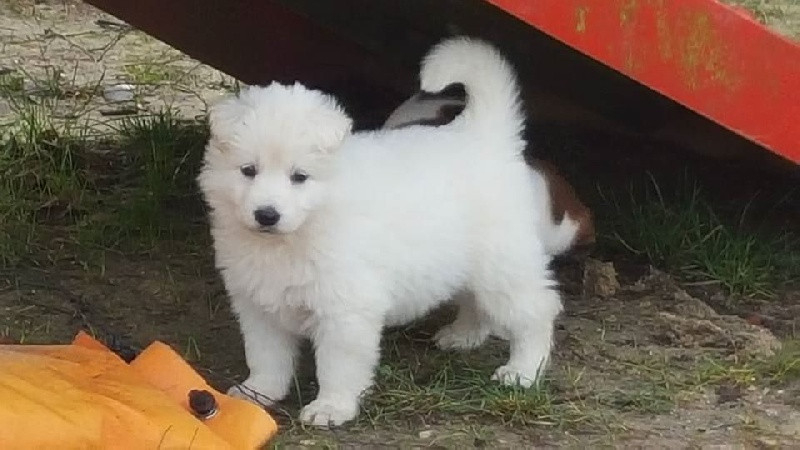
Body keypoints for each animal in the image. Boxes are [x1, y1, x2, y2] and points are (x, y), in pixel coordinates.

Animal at [198, 37, 564, 428]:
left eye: (300, 177)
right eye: (248, 170)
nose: (266, 214)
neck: (298, 234)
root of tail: (481, 135)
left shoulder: (347, 311)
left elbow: (338, 365)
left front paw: (331, 407)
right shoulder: (258, 305)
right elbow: (266, 356)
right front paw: (257, 392)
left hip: (503, 263)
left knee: (536, 310)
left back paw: (523, 371)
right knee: (477, 302)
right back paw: (464, 335)